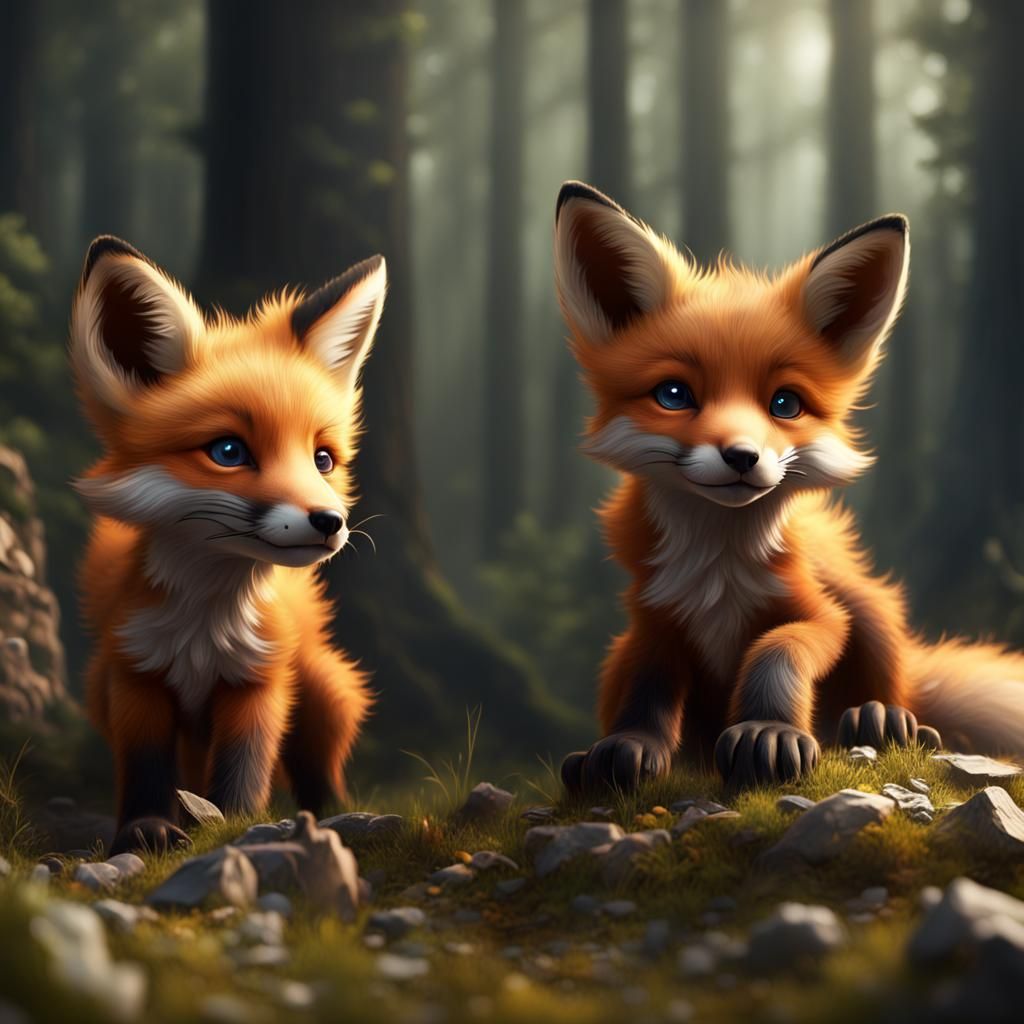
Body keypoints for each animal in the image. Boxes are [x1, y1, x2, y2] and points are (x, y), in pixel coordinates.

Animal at [70, 236, 386, 853]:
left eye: (323, 459)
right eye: (228, 452)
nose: (329, 521)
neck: (205, 626)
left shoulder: (258, 678)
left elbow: (244, 767)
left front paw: (237, 827)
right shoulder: (136, 674)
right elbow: (144, 766)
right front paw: (145, 831)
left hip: (324, 689)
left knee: (318, 764)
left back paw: (334, 810)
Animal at [553, 180, 1024, 793]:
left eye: (785, 404)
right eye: (674, 395)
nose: (742, 456)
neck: (721, 569)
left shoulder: (821, 612)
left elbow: (778, 650)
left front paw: (767, 732)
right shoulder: (653, 619)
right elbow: (645, 689)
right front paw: (626, 746)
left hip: (871, 606)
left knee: (892, 685)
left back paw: (883, 719)